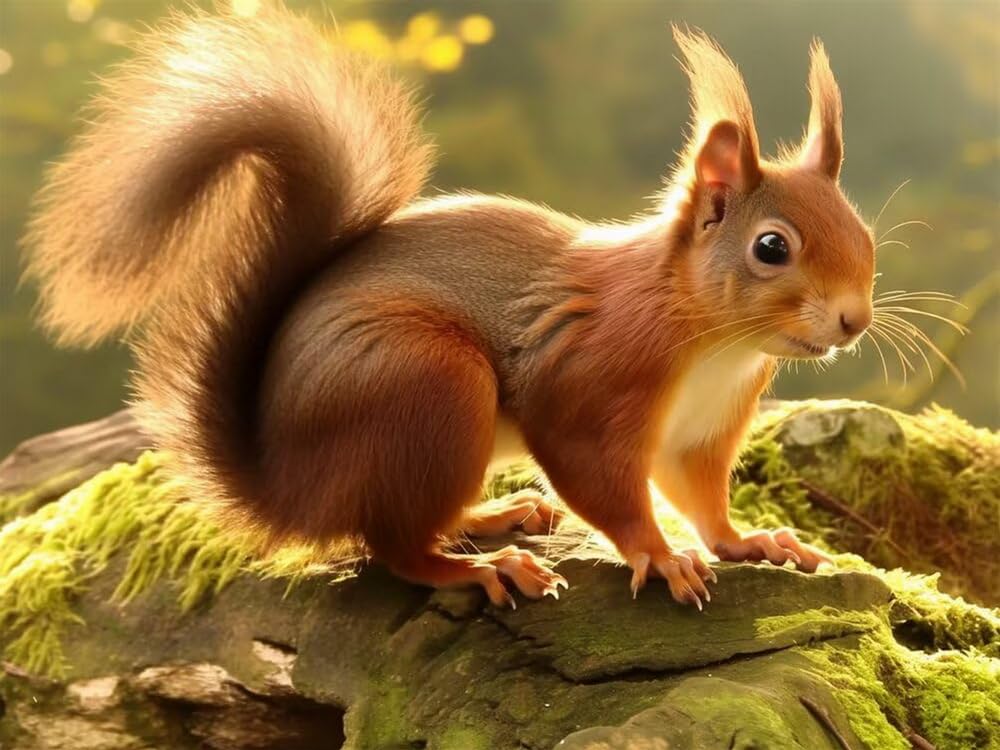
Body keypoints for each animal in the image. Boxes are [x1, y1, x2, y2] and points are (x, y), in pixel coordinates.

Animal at [24, 6, 875, 609]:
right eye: (772, 247)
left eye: (862, 230)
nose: (854, 320)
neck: (714, 340)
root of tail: (288, 488)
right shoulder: (586, 386)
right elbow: (601, 481)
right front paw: (662, 558)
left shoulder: (699, 432)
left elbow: (700, 498)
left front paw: (750, 542)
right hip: (427, 382)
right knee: (390, 548)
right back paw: (483, 566)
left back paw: (491, 519)